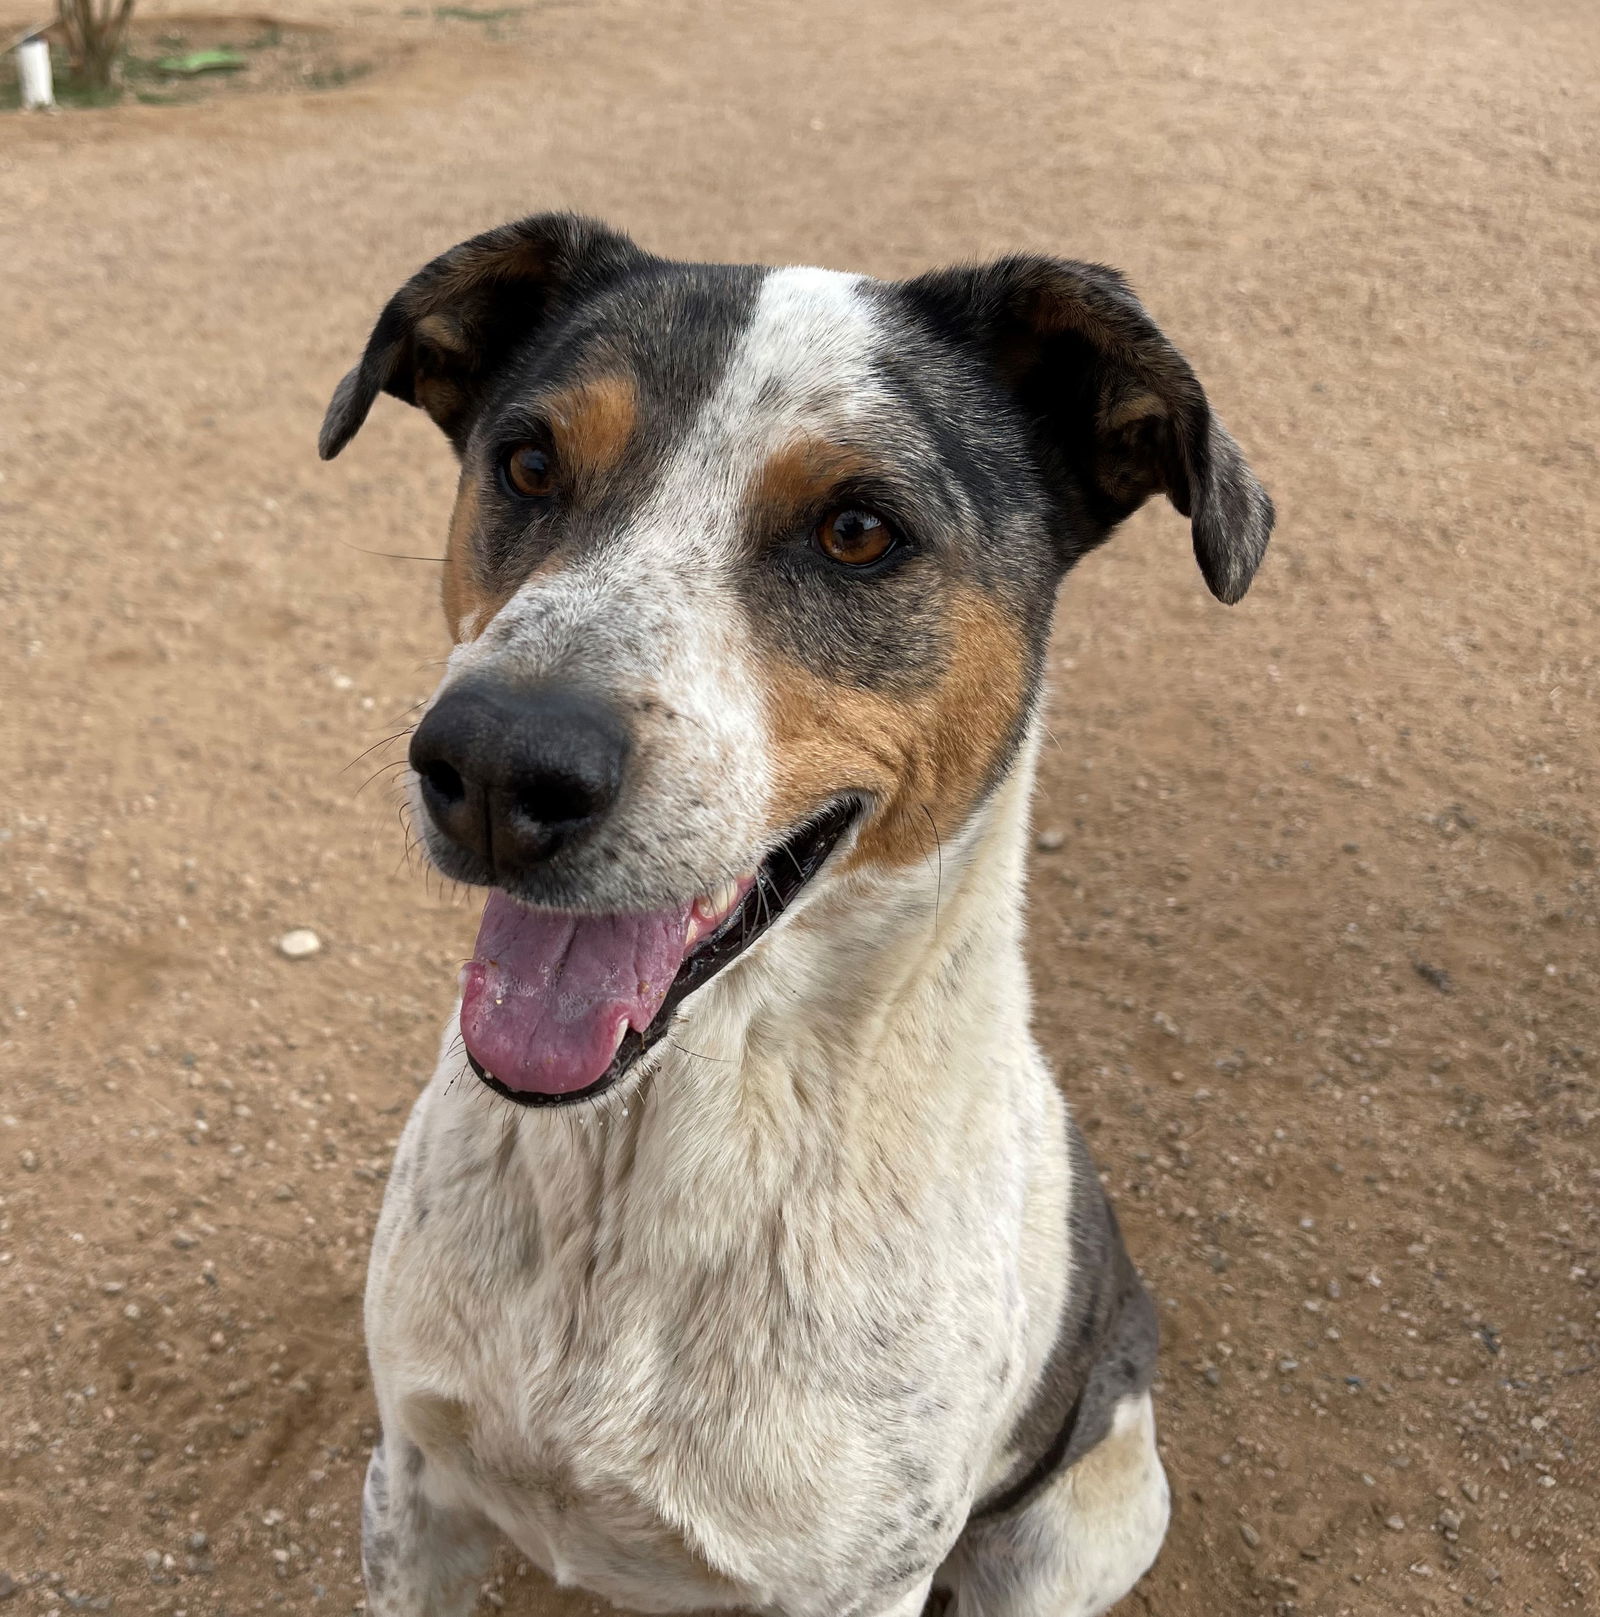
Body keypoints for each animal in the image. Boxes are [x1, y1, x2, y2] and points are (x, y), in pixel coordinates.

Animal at [321, 218, 1274, 1617]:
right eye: (528, 463)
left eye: (859, 530)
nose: (493, 769)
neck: (650, 1146)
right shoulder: (413, 1485)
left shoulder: (855, 1585)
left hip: (1072, 1529)